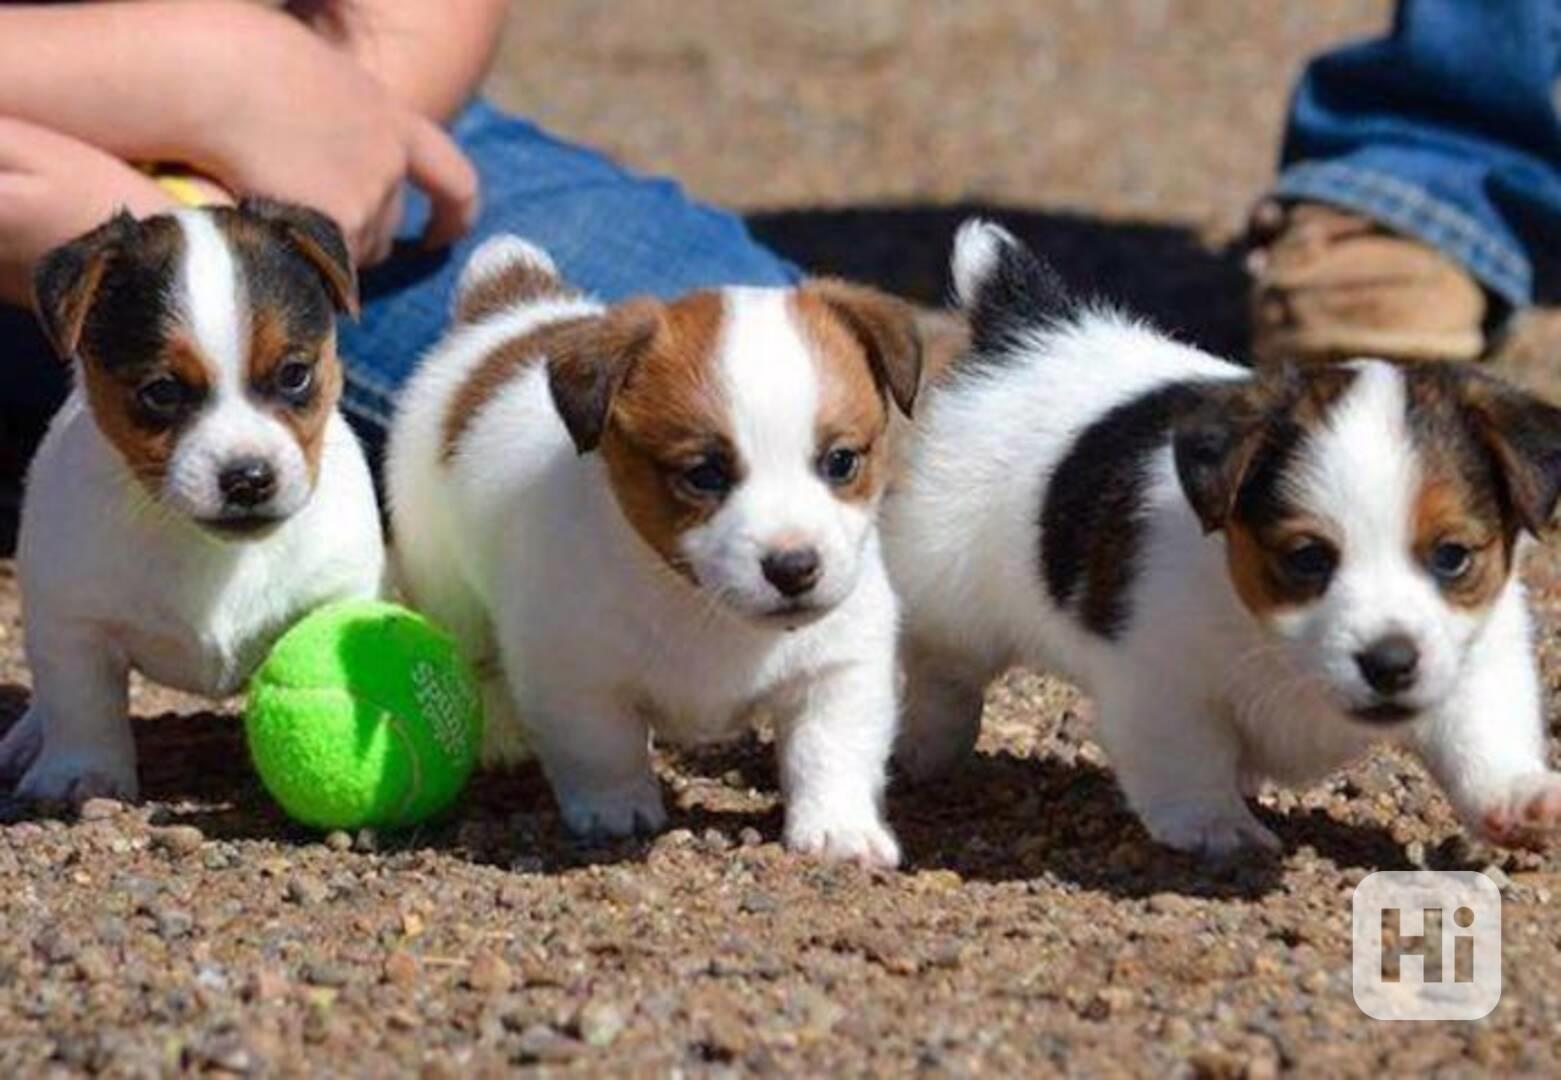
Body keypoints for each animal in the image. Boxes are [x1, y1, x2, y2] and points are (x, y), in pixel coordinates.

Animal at [0, 199, 387, 799]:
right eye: (161, 391)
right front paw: (81, 773)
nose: (248, 478)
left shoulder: (339, 592)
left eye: (294, 374)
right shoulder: (74, 624)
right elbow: (82, 706)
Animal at [390, 238, 917, 867]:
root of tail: (509, 309)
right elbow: (602, 747)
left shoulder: (841, 666)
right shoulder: (573, 674)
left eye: (841, 462)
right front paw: (616, 807)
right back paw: (501, 733)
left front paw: (839, 826)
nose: (794, 568)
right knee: (476, 656)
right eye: (705, 474)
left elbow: (831, 748)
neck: (696, 600)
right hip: (447, 583)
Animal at [886, 221, 1561, 861]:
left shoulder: (1479, 656)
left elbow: (1483, 734)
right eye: (1306, 558)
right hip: (944, 582)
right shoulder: (1161, 676)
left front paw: (1521, 798)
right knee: (942, 666)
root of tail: (1034, 329)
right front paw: (1216, 826)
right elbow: (1187, 756)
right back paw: (928, 743)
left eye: (1452, 556)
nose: (1390, 662)